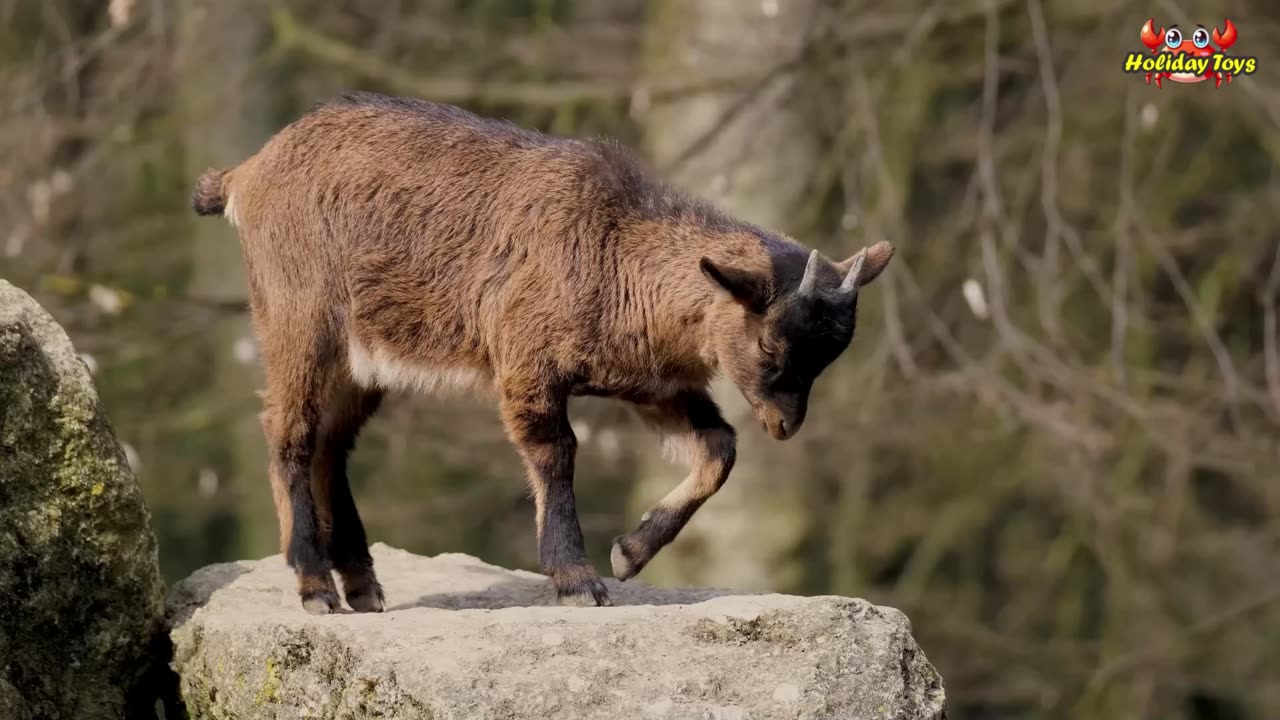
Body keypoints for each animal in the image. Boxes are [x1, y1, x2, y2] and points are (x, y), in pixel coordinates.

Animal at [191, 92, 894, 614]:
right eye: (771, 342)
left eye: (830, 354)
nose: (785, 425)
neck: (613, 246)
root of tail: (245, 175)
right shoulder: (527, 363)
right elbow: (556, 454)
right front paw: (578, 579)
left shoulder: (651, 386)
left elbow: (718, 448)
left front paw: (629, 553)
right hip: (299, 322)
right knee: (288, 433)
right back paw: (316, 588)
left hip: (362, 361)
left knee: (331, 445)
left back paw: (362, 587)